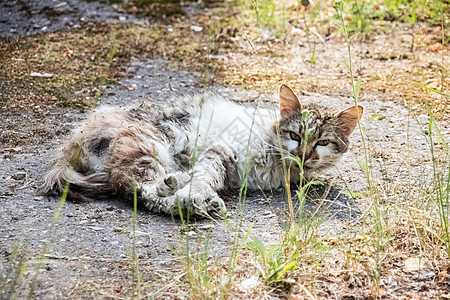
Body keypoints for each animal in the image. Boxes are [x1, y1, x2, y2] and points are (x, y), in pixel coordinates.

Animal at [42, 84, 362, 216]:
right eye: (295, 135)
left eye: (322, 143)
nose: (304, 155)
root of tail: (79, 132)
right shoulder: (223, 150)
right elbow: (204, 176)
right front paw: (193, 193)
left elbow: (204, 176)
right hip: (147, 143)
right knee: (135, 187)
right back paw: (184, 197)